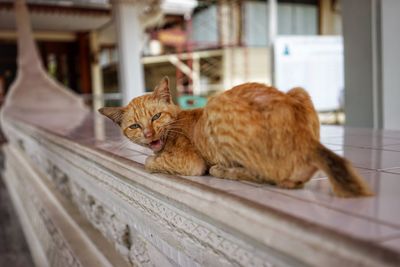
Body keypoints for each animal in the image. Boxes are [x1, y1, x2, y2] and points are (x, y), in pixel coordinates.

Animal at [99, 76, 372, 198]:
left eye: (156, 117)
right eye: (135, 126)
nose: (148, 133)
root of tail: (306, 140)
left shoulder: (190, 163)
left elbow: (148, 162)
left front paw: (151, 160)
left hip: (216, 106)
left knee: (270, 176)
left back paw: (223, 170)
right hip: (299, 90)